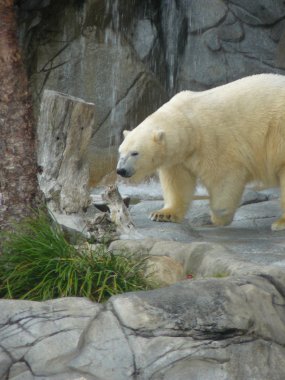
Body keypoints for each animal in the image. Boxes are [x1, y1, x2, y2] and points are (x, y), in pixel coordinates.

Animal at [116, 72, 285, 230]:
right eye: (120, 152)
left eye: (135, 153)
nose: (121, 170)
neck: (188, 122)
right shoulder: (178, 158)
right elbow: (178, 182)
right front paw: (162, 214)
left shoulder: (213, 139)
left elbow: (224, 176)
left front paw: (218, 216)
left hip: (278, 131)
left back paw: (279, 223)